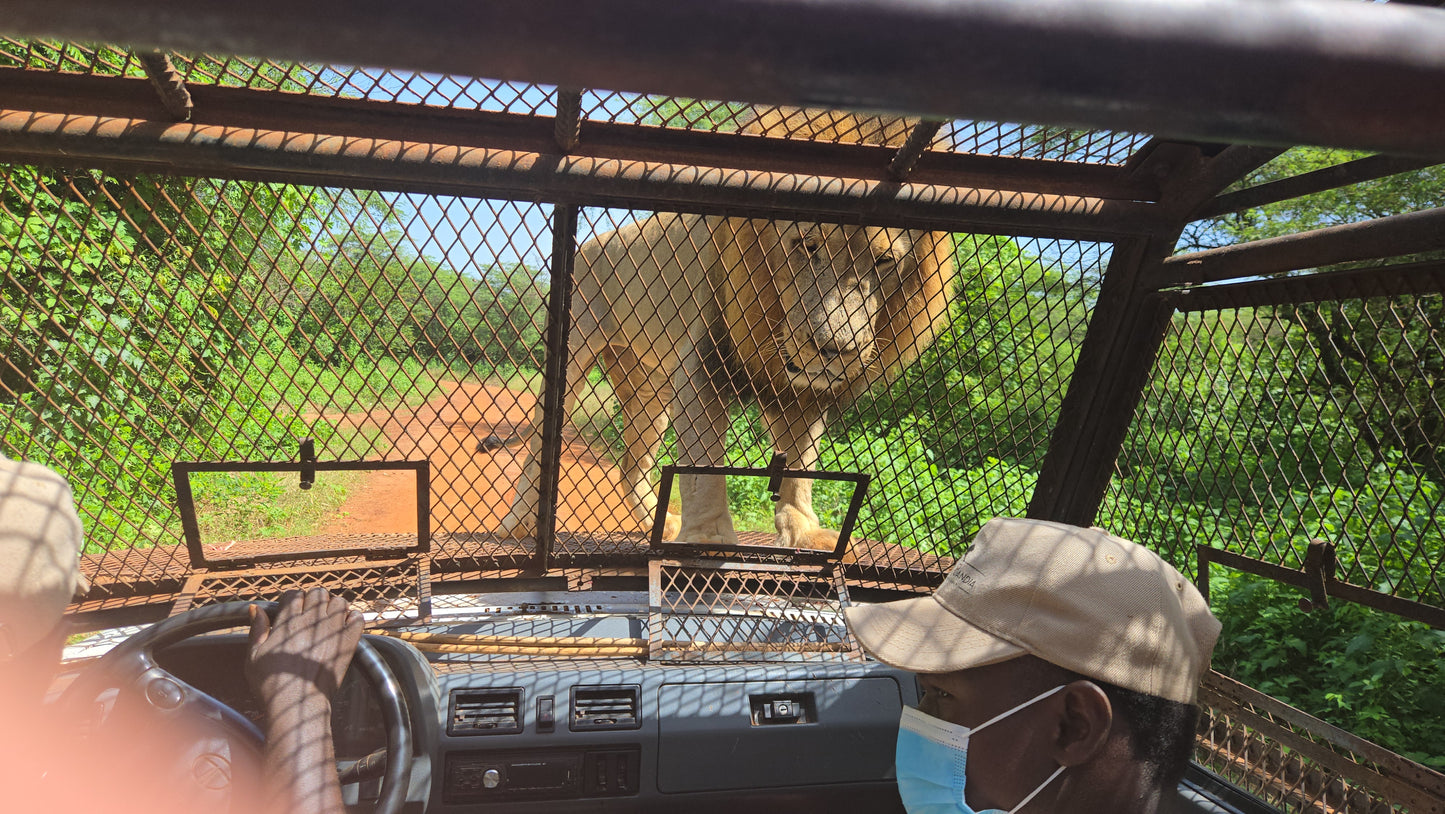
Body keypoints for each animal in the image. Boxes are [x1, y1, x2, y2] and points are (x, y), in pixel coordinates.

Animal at [499, 109, 956, 551]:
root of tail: (589, 242)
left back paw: (661, 524)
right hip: (575, 352)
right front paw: (708, 540)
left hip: (649, 381)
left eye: (884, 261)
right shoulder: (704, 359)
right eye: (807, 246)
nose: (833, 349)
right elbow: (703, 466)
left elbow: (801, 466)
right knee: (539, 445)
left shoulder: (803, 391)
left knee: (632, 464)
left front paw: (803, 531)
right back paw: (516, 524)